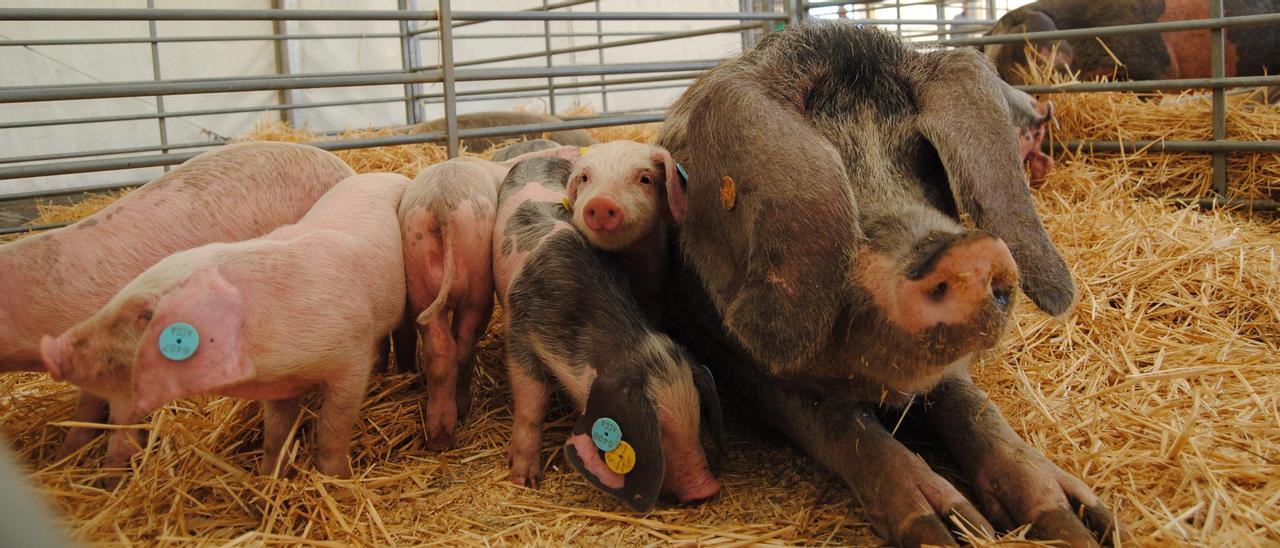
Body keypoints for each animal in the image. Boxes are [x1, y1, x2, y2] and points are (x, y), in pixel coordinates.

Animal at [1, 142, 355, 458]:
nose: (52, 348)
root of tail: (343, 167)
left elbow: (118, 423)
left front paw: (110, 478)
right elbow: (86, 409)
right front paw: (62, 457)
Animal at [494, 156, 727, 512]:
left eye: (698, 414)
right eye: (658, 429)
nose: (706, 488)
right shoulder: (521, 334)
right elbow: (531, 403)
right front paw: (524, 480)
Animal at [660, 22, 1121, 548]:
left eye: (927, 159)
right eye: (831, 169)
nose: (970, 255)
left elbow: (970, 403)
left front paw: (1080, 525)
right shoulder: (728, 351)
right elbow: (831, 418)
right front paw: (949, 531)